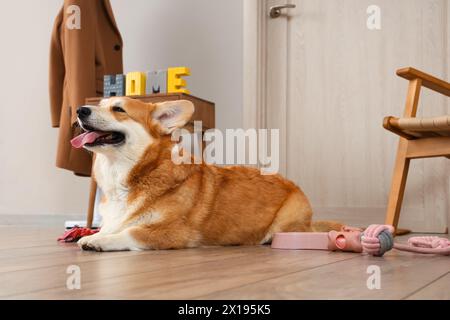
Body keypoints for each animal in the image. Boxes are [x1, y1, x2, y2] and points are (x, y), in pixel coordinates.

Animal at [73, 96, 342, 251]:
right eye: (99, 104)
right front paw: (95, 234)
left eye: (118, 109)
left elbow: (130, 232)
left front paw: (99, 241)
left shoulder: (174, 232)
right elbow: (110, 227)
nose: (79, 110)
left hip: (287, 224)